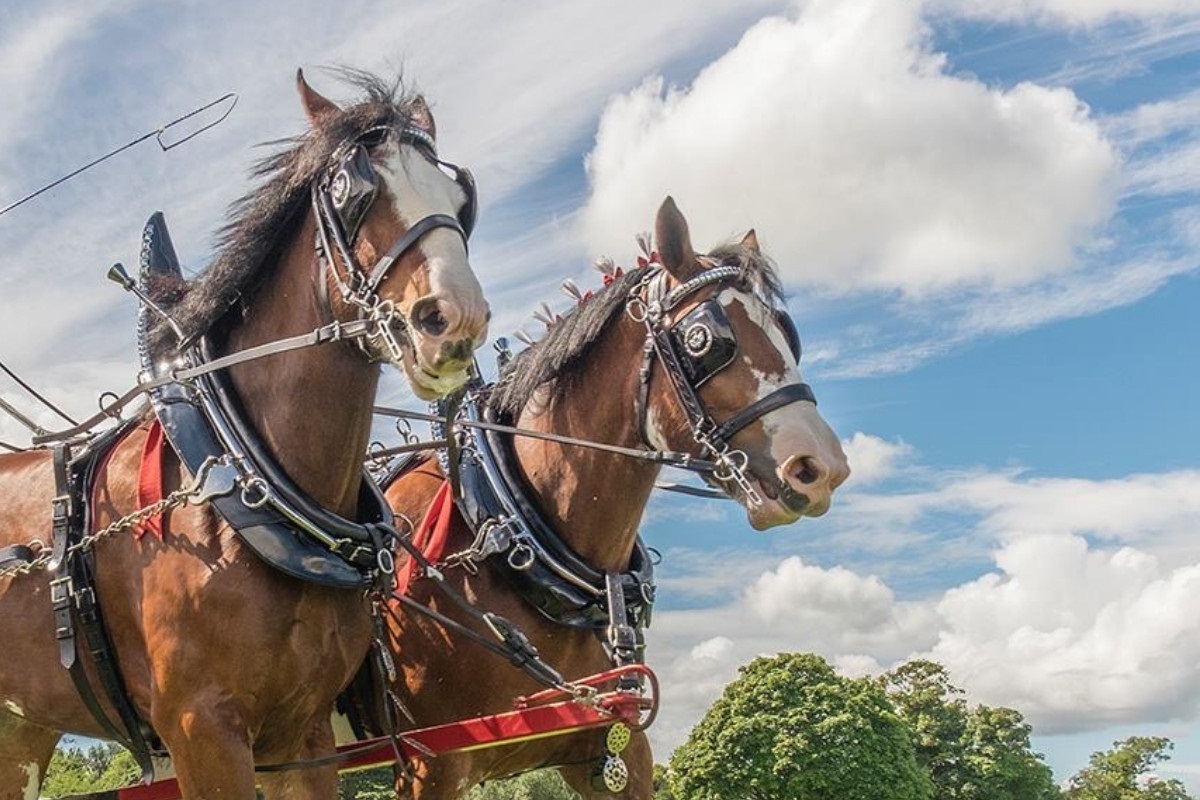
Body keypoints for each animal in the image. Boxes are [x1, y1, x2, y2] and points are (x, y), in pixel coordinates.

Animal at [1, 70, 487, 800]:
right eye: (354, 194)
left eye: (460, 200)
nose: (455, 320)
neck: (243, 476)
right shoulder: (200, 729)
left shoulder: (303, 737)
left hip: (22, 729)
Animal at [372, 196, 844, 796]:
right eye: (706, 339)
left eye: (789, 334)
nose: (823, 468)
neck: (510, 526)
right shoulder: (431, 761)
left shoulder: (613, 748)